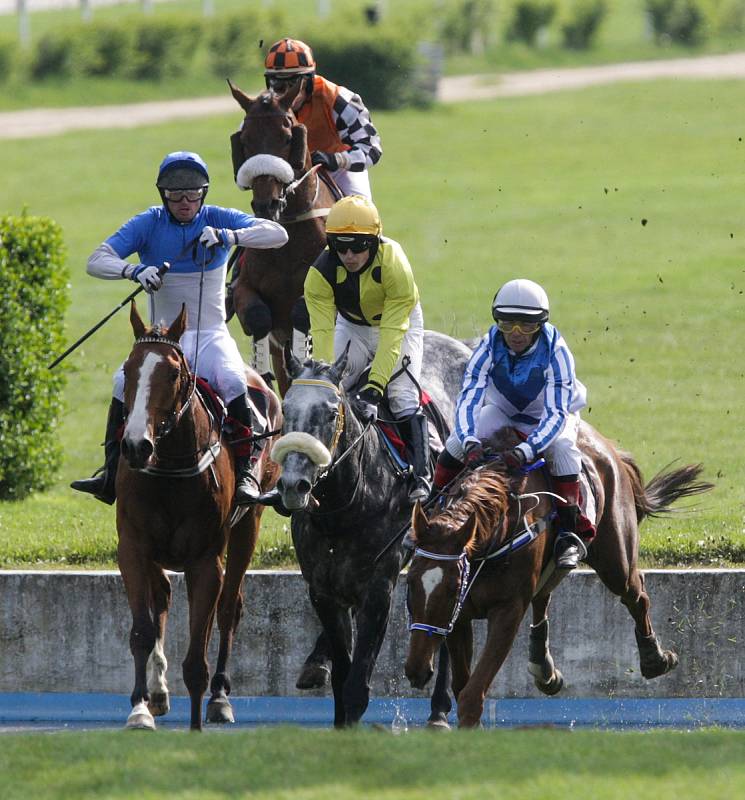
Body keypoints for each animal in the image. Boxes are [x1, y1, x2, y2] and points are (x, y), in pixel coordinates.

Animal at [116, 302, 282, 732]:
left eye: (173, 373)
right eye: (128, 369)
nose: (136, 445)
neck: (170, 466)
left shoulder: (205, 560)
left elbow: (198, 649)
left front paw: (197, 724)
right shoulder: (134, 547)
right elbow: (142, 630)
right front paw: (140, 707)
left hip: (249, 525)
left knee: (229, 609)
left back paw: (220, 697)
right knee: (162, 596)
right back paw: (158, 691)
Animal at [224, 84, 334, 396]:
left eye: (286, 139)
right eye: (245, 140)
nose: (266, 204)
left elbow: (302, 314)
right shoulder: (244, 288)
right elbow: (258, 316)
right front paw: (261, 378)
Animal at [404, 424, 712, 732]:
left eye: (452, 587)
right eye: (410, 583)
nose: (416, 671)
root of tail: (609, 448)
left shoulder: (507, 610)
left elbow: (471, 694)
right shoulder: (459, 615)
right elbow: (461, 685)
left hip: (616, 560)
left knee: (637, 595)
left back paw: (654, 658)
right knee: (544, 596)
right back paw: (544, 668)